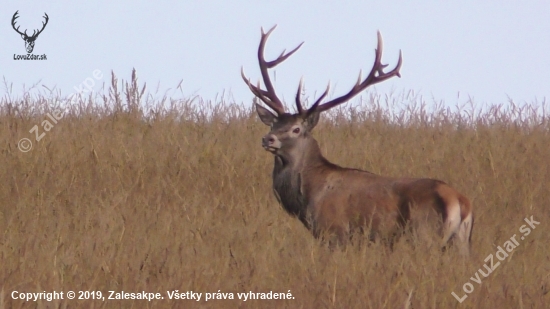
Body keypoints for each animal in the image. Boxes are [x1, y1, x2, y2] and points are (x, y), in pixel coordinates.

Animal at [242, 25, 474, 254]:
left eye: (296, 129)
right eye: (273, 124)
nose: (268, 139)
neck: (308, 196)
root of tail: (460, 202)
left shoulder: (334, 232)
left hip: (424, 235)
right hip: (460, 243)